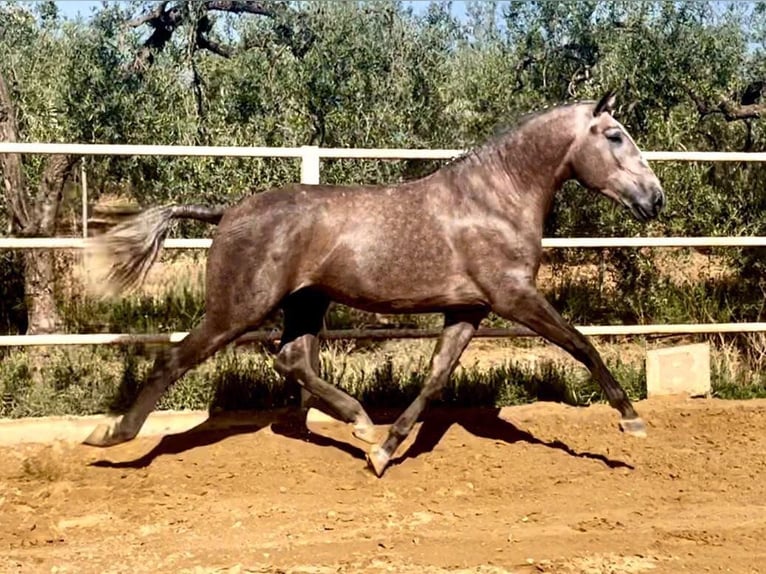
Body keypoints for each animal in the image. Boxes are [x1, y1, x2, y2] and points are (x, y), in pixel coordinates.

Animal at [81, 91, 664, 476]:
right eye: (615, 136)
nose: (655, 199)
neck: (494, 200)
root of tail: (227, 213)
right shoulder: (514, 297)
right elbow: (582, 344)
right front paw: (631, 421)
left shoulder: (469, 310)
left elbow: (435, 377)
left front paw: (383, 452)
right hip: (237, 309)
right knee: (176, 359)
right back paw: (110, 435)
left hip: (305, 304)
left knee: (291, 359)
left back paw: (360, 422)